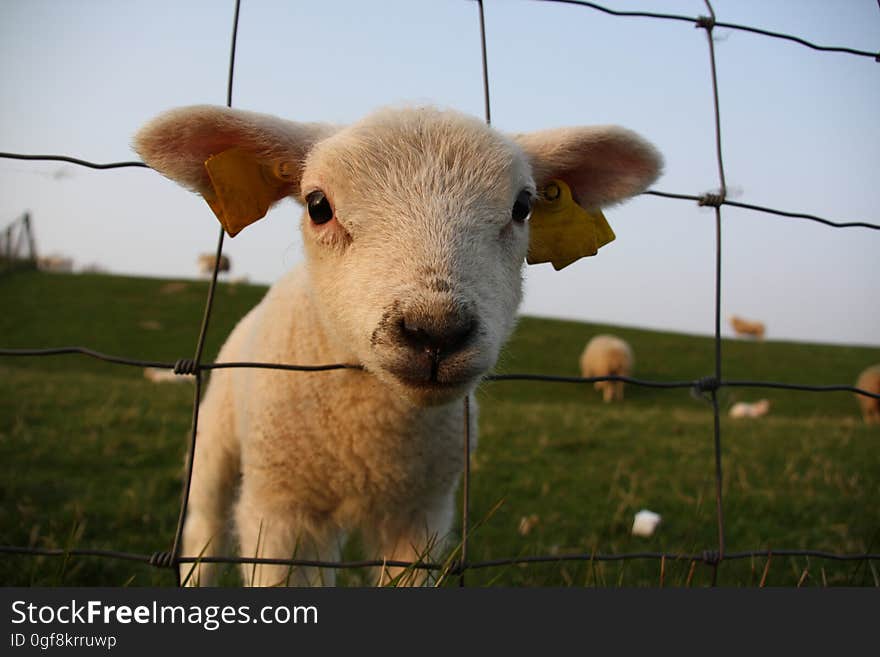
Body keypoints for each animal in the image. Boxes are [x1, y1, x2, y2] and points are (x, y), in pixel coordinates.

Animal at [136, 102, 660, 584]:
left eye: (523, 207)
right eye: (318, 206)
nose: (436, 331)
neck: (371, 441)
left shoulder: (421, 516)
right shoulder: (281, 514)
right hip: (214, 444)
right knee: (205, 531)